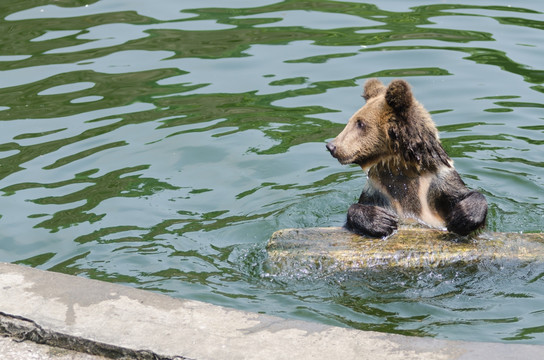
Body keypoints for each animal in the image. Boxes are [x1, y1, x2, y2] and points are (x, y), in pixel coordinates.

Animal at [326, 77, 486, 238]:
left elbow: (464, 195)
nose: (331, 146)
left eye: (360, 123)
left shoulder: (437, 183)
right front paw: (381, 220)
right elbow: (356, 210)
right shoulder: (377, 190)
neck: (399, 166)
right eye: (352, 121)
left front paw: (463, 216)